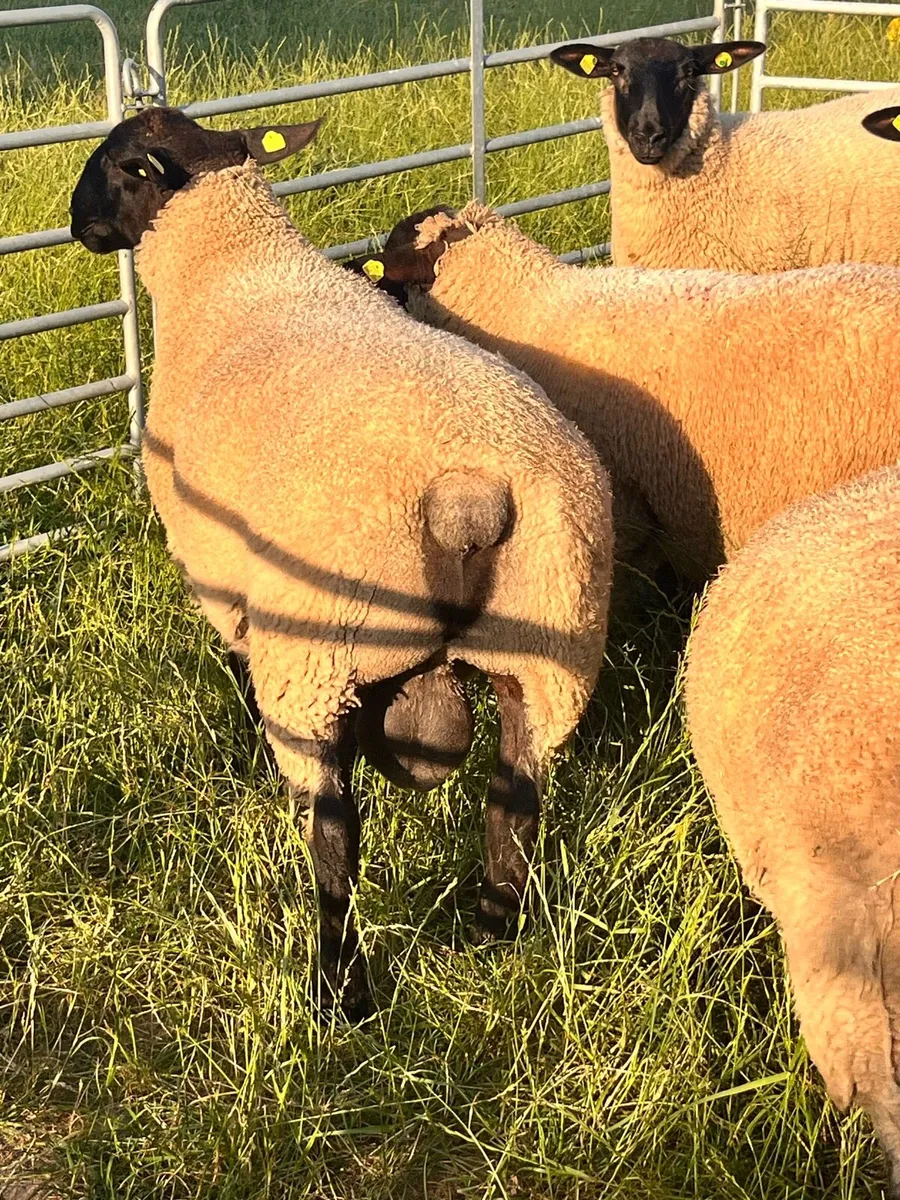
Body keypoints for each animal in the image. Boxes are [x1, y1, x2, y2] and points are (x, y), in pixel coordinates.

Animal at [69, 106, 614, 1021]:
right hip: (549, 647)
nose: (76, 226)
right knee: (514, 804)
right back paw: (493, 932)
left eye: (111, 164)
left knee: (334, 834)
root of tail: (469, 494)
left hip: (317, 654)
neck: (230, 264)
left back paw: (338, 991)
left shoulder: (223, 579)